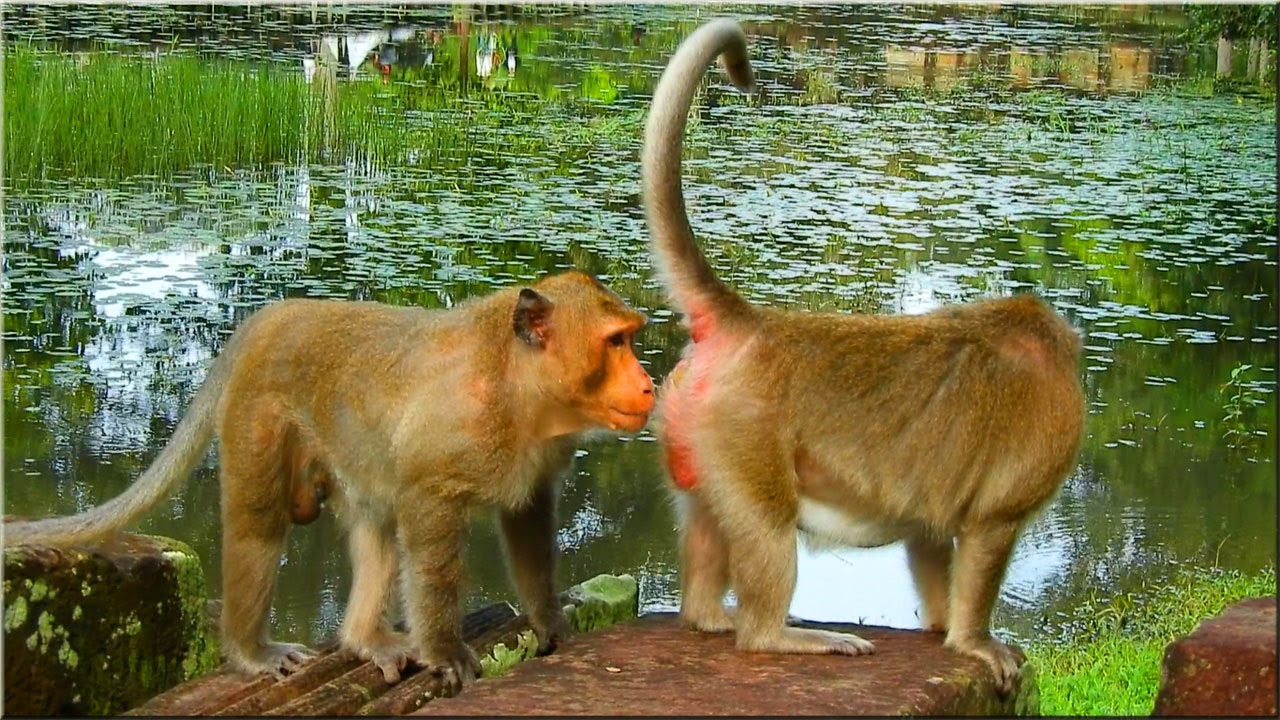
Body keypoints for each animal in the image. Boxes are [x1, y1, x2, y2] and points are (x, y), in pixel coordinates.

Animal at [5, 271, 655, 693]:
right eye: (615, 342)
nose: (649, 383)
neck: (516, 386)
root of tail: (274, 314)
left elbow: (527, 519)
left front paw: (550, 621)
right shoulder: (455, 440)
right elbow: (428, 519)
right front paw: (445, 650)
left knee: (377, 525)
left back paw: (363, 638)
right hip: (259, 415)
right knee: (260, 529)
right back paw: (250, 651)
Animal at [642, 19, 1084, 696]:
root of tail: (749, 324)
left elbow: (929, 539)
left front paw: (940, 623)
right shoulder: (1031, 463)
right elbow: (989, 531)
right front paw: (974, 642)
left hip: (692, 433)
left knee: (712, 519)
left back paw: (708, 617)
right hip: (743, 431)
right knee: (768, 522)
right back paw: (774, 635)